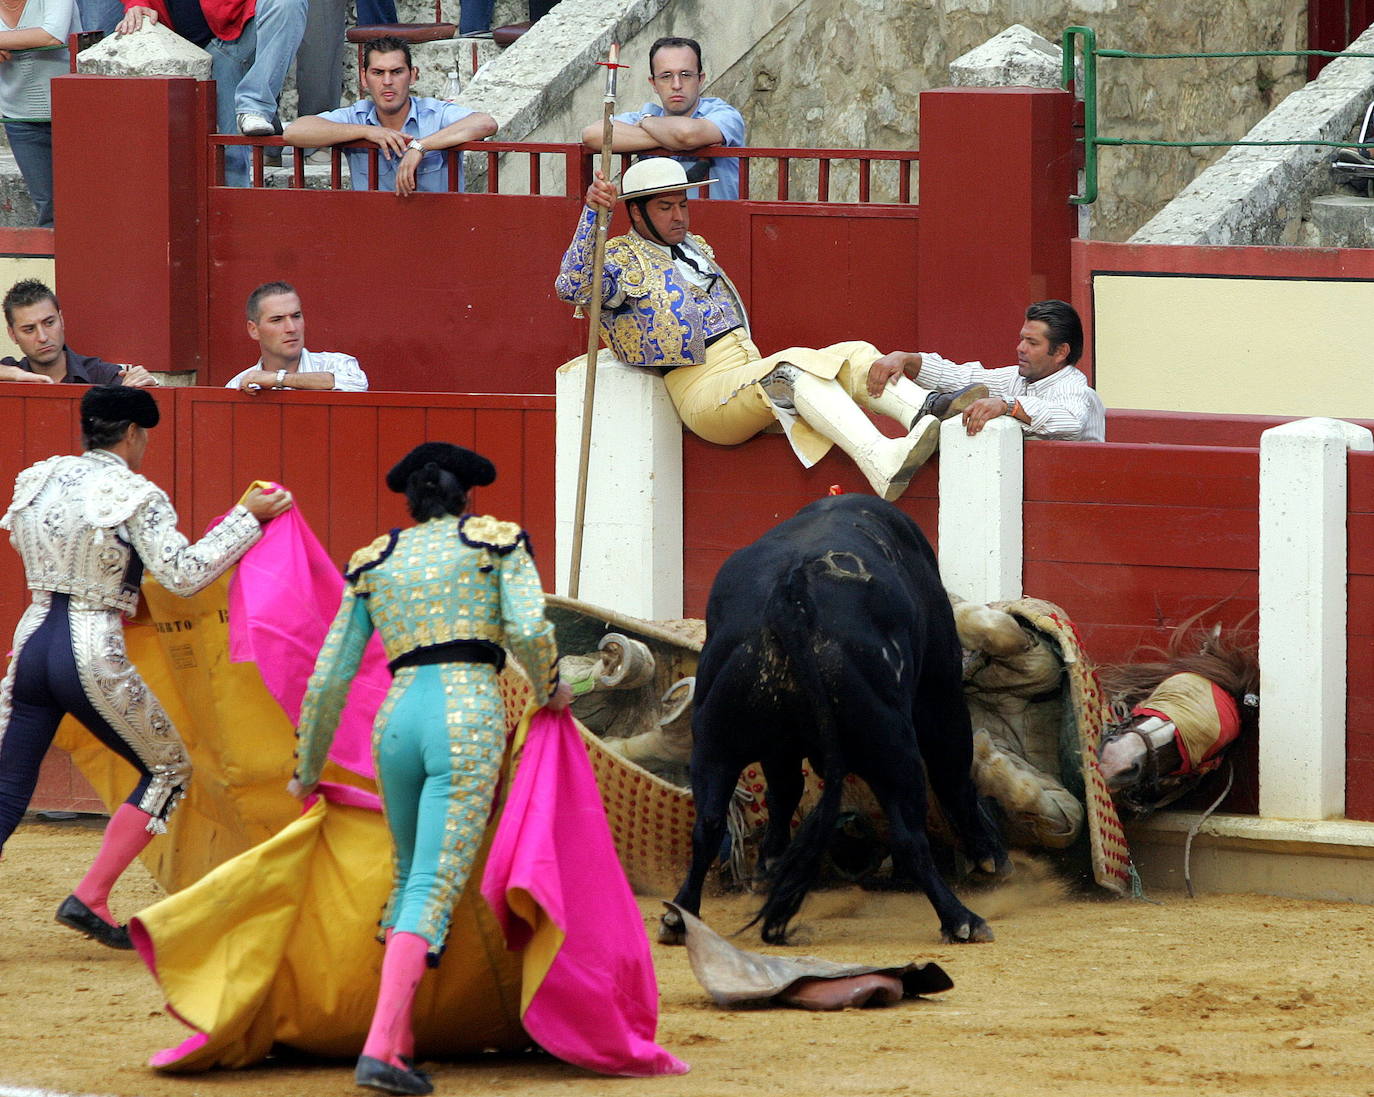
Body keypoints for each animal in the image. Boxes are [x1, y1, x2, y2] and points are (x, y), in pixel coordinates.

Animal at [659, 494, 1005, 945]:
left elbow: (782, 792)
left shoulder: (776, 747)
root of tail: (789, 598)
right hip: (895, 746)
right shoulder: (939, 691)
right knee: (911, 834)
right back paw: (961, 918)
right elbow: (954, 777)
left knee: (709, 824)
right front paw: (987, 855)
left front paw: (769, 865)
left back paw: (679, 915)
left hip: (716, 744)